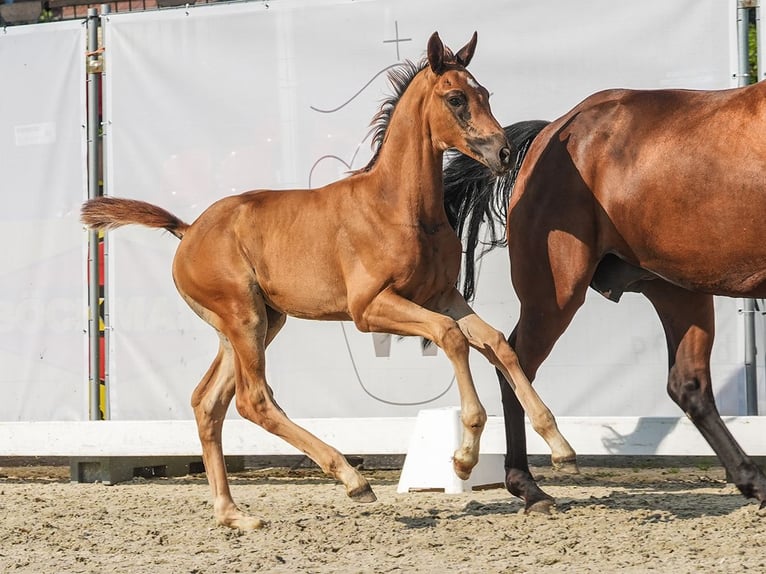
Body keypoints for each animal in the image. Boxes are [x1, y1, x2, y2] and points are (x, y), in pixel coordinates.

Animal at [82, 32, 576, 532]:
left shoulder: (441, 296)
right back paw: (352, 479)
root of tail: (188, 230)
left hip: (256, 323)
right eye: (456, 98)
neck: (400, 206)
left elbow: (497, 343)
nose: (503, 153)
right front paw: (462, 458)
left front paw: (560, 447)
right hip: (244, 318)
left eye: (486, 94)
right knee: (253, 400)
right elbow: (451, 337)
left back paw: (233, 514)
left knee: (208, 402)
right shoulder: (371, 309)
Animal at [444, 82, 766, 512]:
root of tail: (552, 132)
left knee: (688, 385)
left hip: (678, 290)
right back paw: (529, 488)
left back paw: (752, 481)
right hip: (556, 294)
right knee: (515, 362)